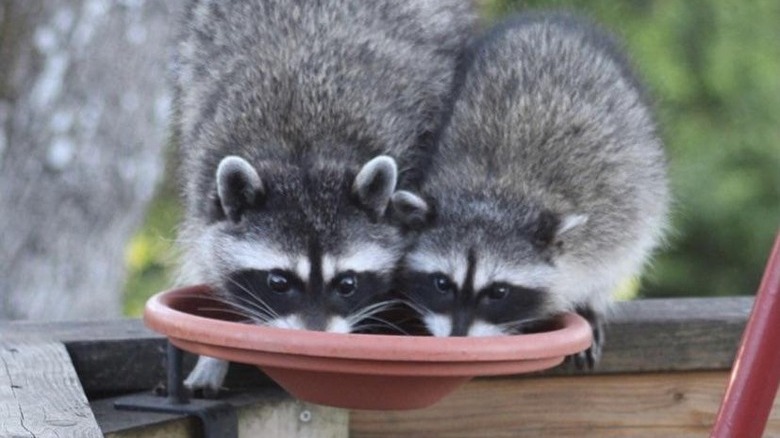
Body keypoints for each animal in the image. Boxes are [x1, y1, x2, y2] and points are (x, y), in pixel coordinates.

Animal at [173, 0, 475, 392]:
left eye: (346, 283)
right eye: (278, 282)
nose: (314, 341)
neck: (305, 153)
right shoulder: (202, 177)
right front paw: (214, 353)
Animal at [392, 13, 669, 366]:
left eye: (499, 292)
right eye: (442, 283)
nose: (457, 341)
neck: (491, 191)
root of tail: (551, 23)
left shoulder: (605, 225)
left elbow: (614, 256)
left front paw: (591, 303)